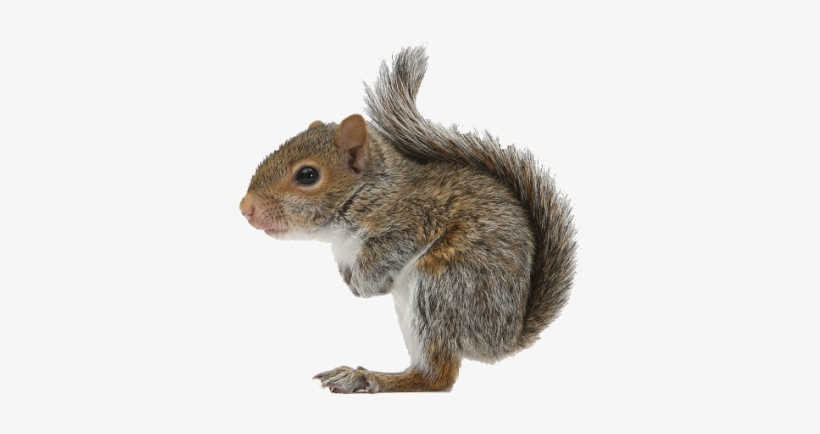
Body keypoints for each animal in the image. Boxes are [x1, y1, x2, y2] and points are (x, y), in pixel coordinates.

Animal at [239, 46, 577, 393]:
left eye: (307, 175)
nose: (245, 207)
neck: (368, 193)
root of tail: (502, 340)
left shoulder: (415, 220)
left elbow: (388, 252)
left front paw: (366, 284)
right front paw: (353, 282)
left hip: (444, 287)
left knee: (437, 378)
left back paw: (367, 378)